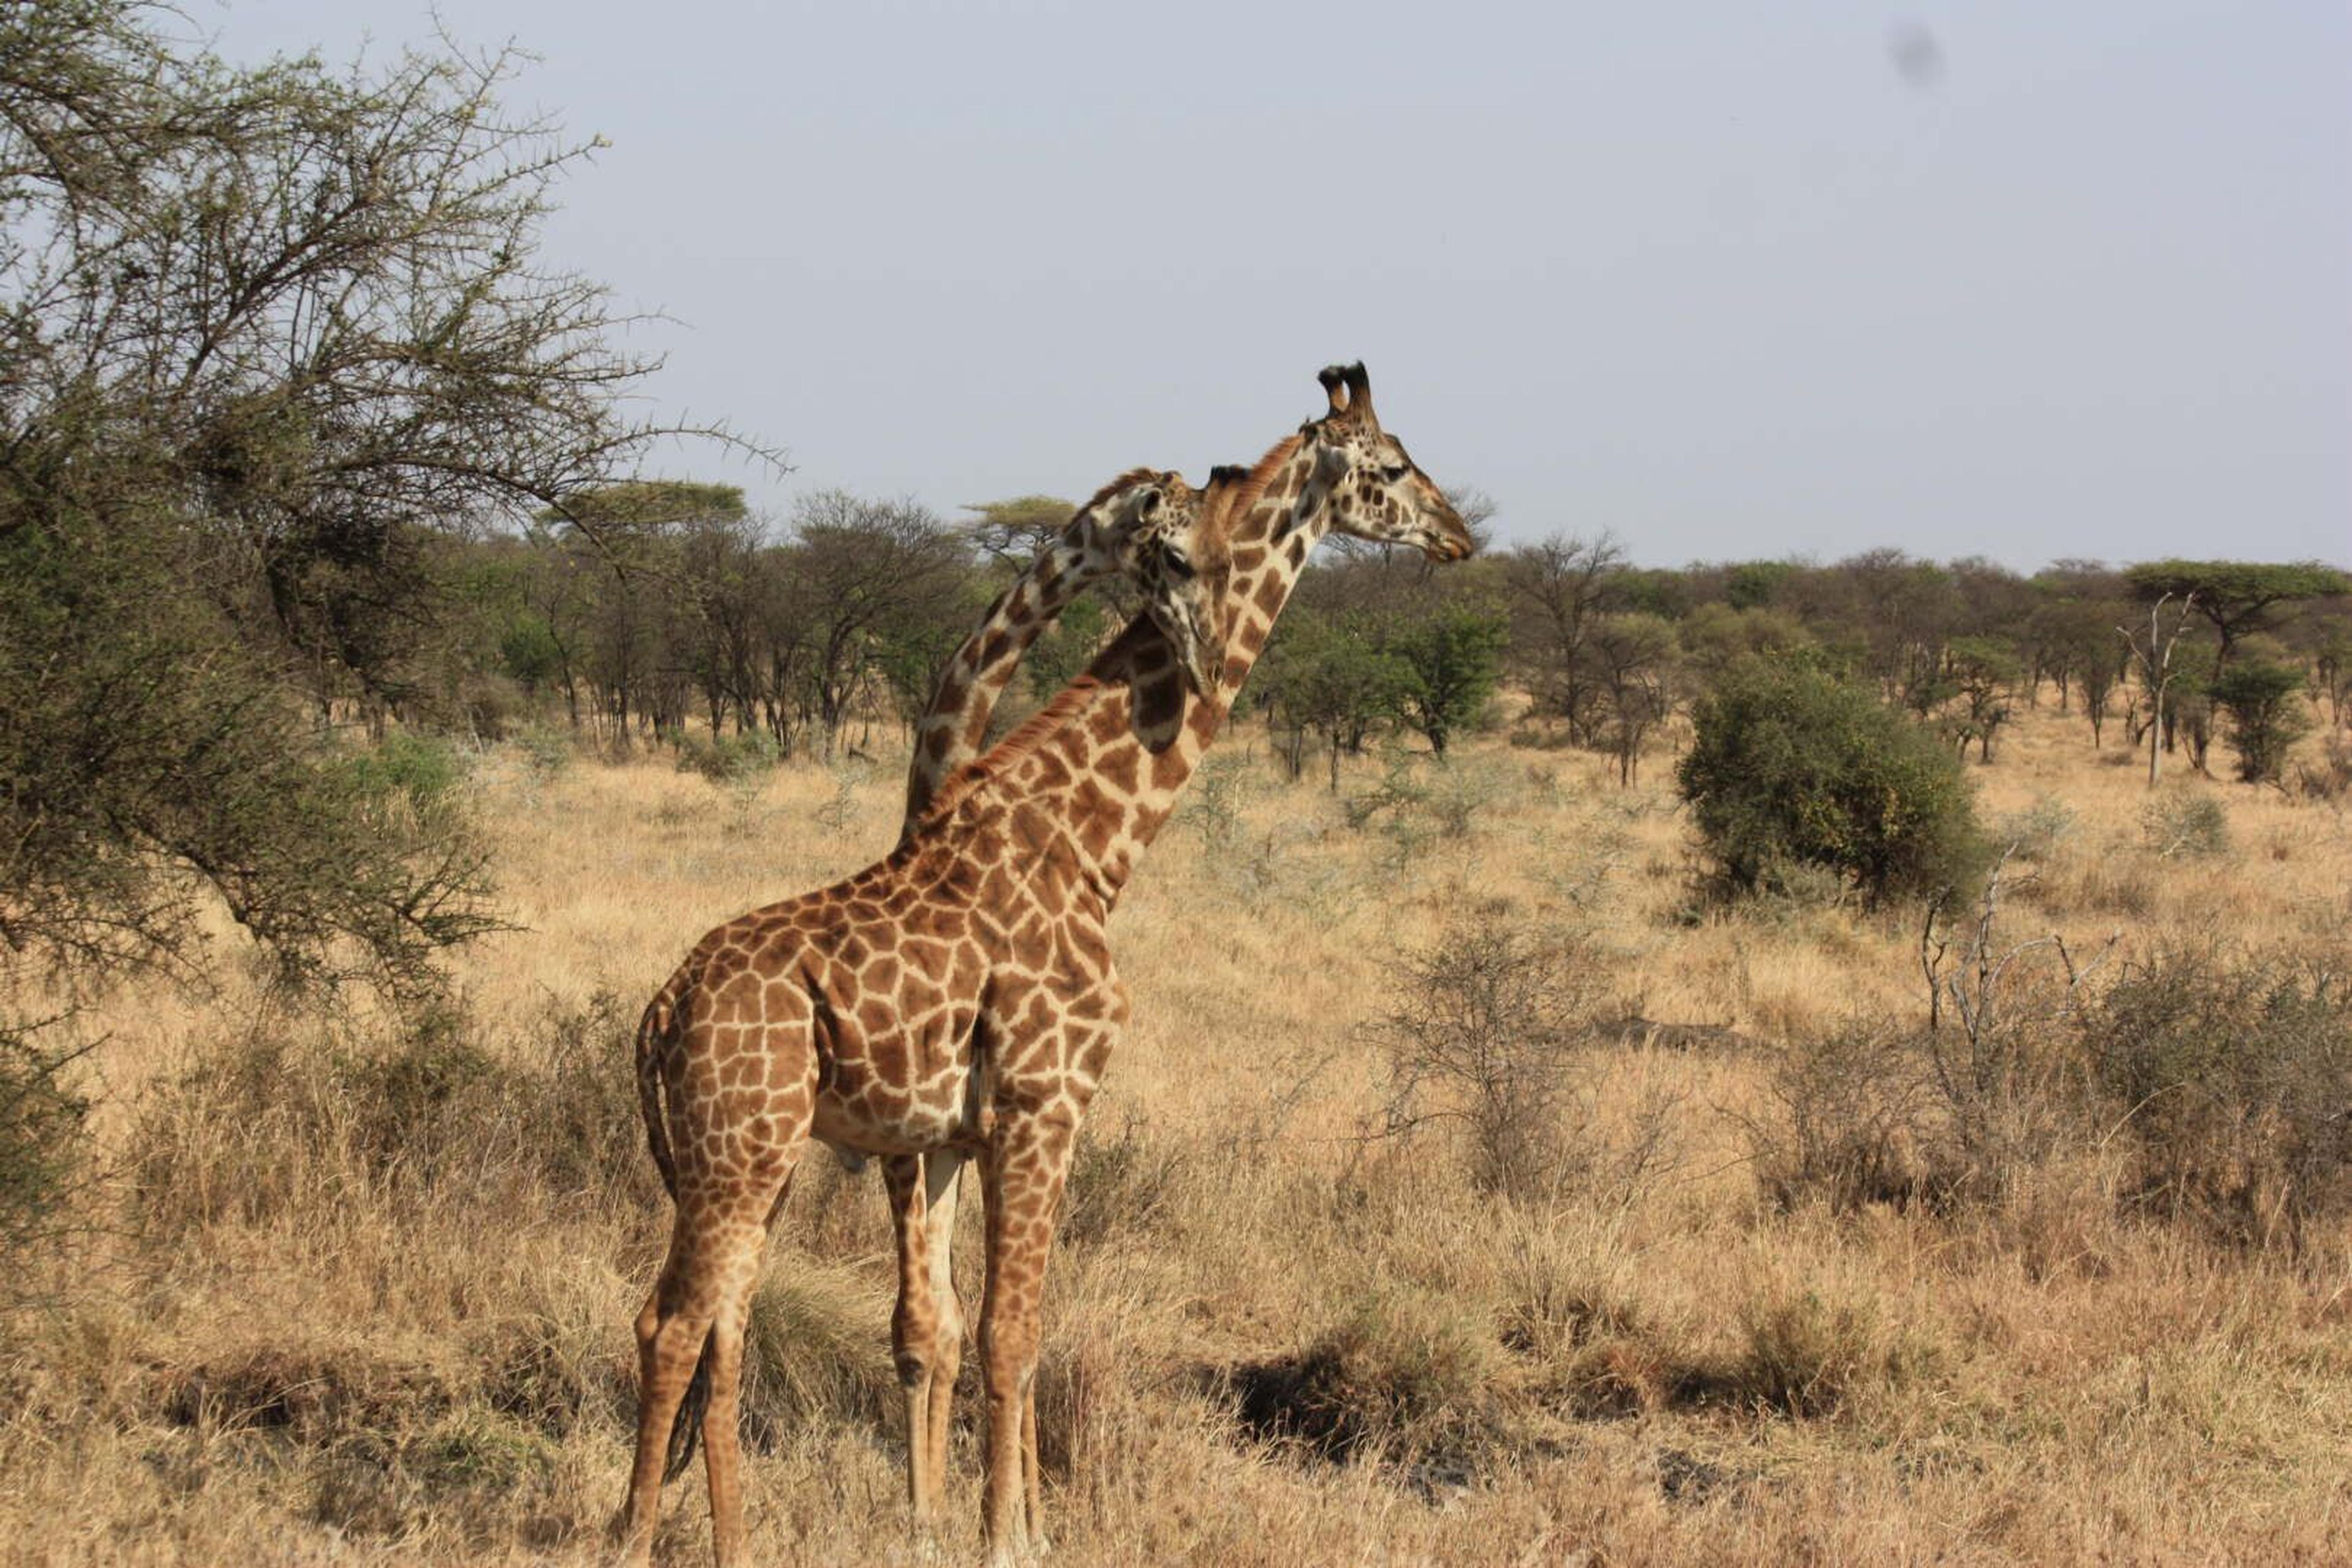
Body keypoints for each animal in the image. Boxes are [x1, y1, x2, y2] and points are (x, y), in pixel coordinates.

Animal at [625, 369, 1468, 1568]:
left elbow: (966, 1326)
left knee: (703, 1323)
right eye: (1393, 467)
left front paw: (981, 1525)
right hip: (742, 1152)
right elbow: (1005, 1333)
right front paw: (1001, 1540)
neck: (1095, 843)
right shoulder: (1041, 1104)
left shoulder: (961, 1130)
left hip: (742, 1158)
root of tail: (658, 1013)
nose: (1459, 535)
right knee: (677, 1325)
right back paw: (637, 1540)